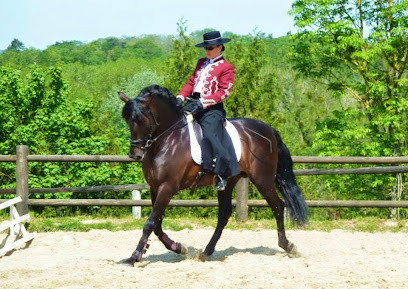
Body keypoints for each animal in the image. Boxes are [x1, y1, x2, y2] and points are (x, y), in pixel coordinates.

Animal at [119, 84, 308, 264]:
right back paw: (207, 251)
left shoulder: (167, 187)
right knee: (224, 214)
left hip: (263, 179)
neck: (168, 140)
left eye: (142, 120)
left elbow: (150, 223)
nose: (135, 155)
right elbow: (156, 225)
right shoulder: (154, 187)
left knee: (278, 206)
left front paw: (134, 256)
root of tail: (269, 129)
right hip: (229, 182)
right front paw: (178, 247)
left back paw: (288, 246)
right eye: (127, 120)